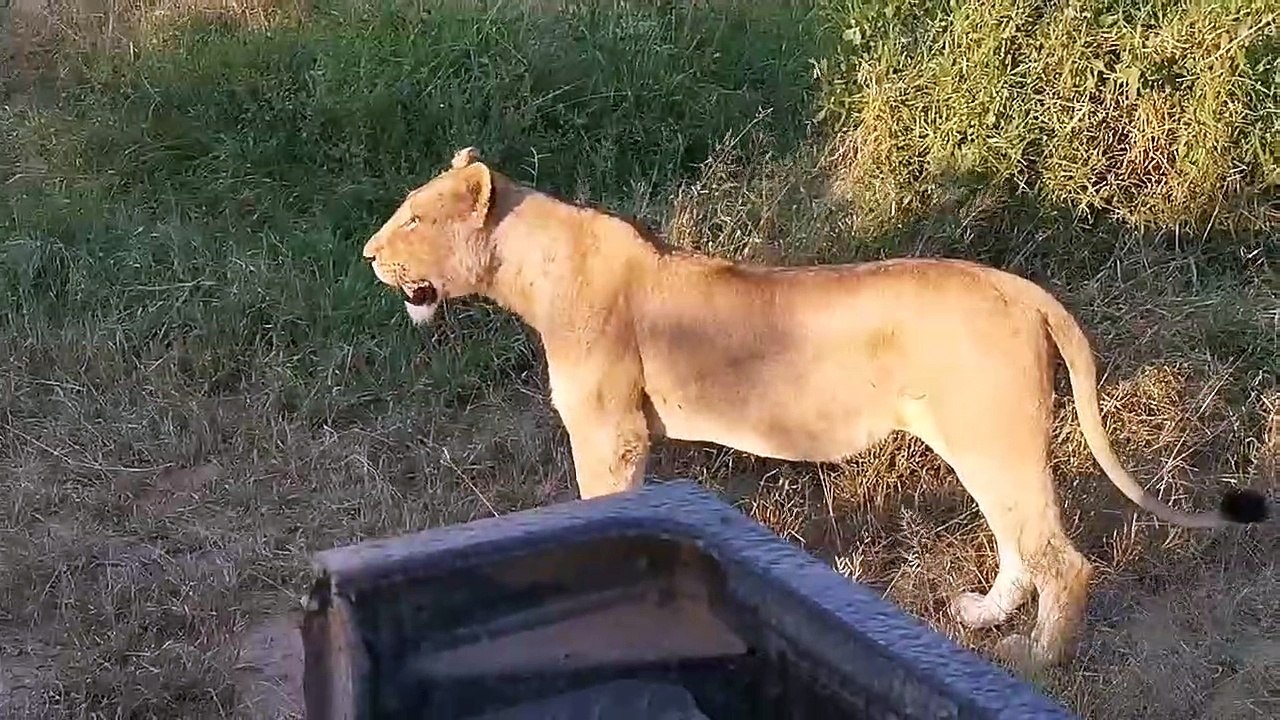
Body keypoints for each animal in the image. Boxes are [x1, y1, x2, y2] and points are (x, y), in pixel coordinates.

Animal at [360, 146, 1269, 670]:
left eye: (412, 217)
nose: (368, 254)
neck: (529, 270)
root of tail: (1020, 288)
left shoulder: (607, 430)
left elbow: (598, 507)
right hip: (981, 442)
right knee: (1020, 542)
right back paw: (983, 614)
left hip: (992, 438)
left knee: (1063, 560)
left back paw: (1036, 659)